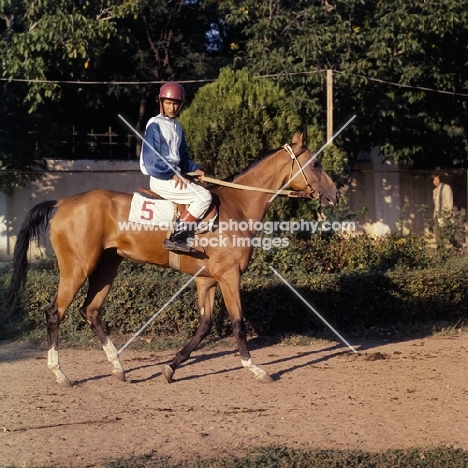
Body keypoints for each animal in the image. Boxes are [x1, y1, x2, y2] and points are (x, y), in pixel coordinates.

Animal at [5, 130, 338, 386]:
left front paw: (171, 366)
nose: (334, 195)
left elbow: (204, 326)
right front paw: (255, 368)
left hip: (107, 267)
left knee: (91, 311)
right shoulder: (228, 276)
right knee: (54, 312)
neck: (238, 205)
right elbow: (238, 323)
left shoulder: (207, 281)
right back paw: (60, 374)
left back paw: (118, 367)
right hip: (77, 268)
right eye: (316, 163)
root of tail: (62, 203)